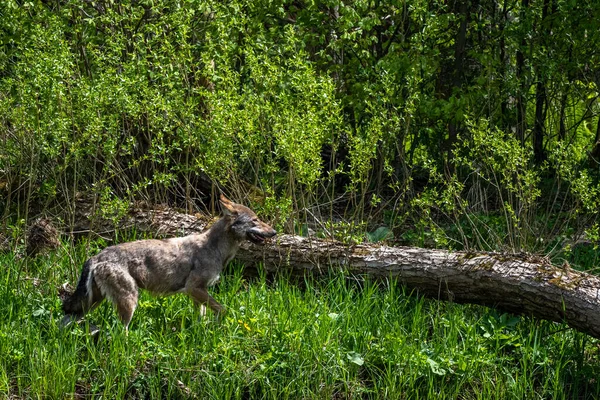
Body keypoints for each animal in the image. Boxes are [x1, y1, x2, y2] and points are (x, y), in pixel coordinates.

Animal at [61, 196, 276, 332]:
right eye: (255, 220)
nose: (274, 232)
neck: (216, 249)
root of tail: (96, 257)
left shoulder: (197, 292)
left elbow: (202, 317)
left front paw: (202, 333)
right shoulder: (193, 288)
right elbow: (223, 310)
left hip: (91, 303)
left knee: (65, 320)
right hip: (128, 301)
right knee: (119, 333)